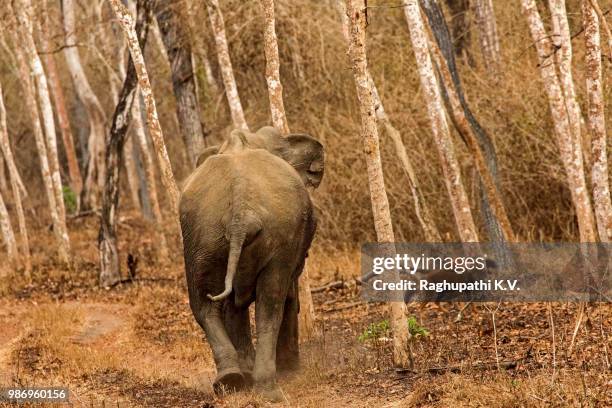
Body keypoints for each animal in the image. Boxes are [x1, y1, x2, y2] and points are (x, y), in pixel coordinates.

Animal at [178, 126, 326, 400]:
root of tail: (240, 215)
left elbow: (233, 304)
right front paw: (291, 370)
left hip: (201, 235)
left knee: (203, 302)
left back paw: (231, 380)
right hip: (277, 235)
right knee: (271, 301)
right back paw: (270, 387)